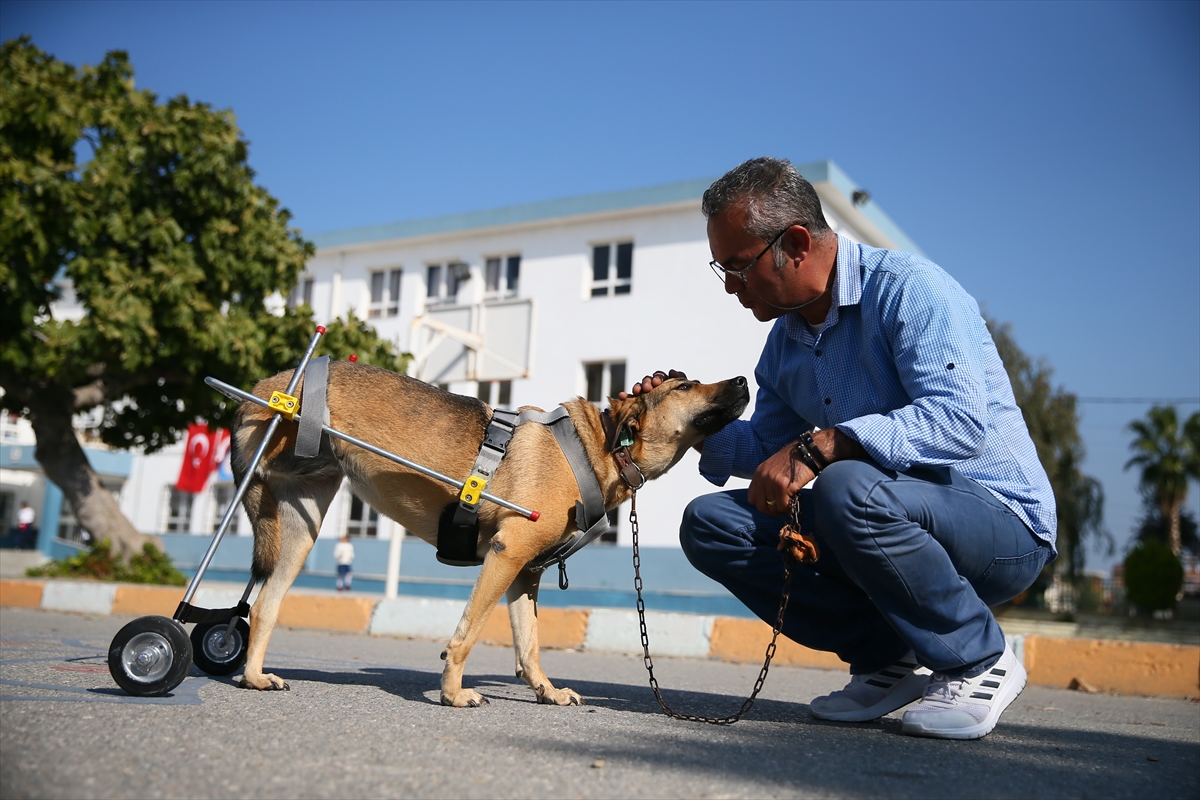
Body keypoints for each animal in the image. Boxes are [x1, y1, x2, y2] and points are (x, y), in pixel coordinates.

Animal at [229, 362, 744, 705]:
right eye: (685, 385)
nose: (743, 381)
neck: (599, 449)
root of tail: (271, 383)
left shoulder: (524, 573)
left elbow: (529, 644)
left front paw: (547, 691)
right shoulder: (506, 555)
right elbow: (468, 632)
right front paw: (453, 693)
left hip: (302, 528)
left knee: (266, 603)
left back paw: (254, 676)